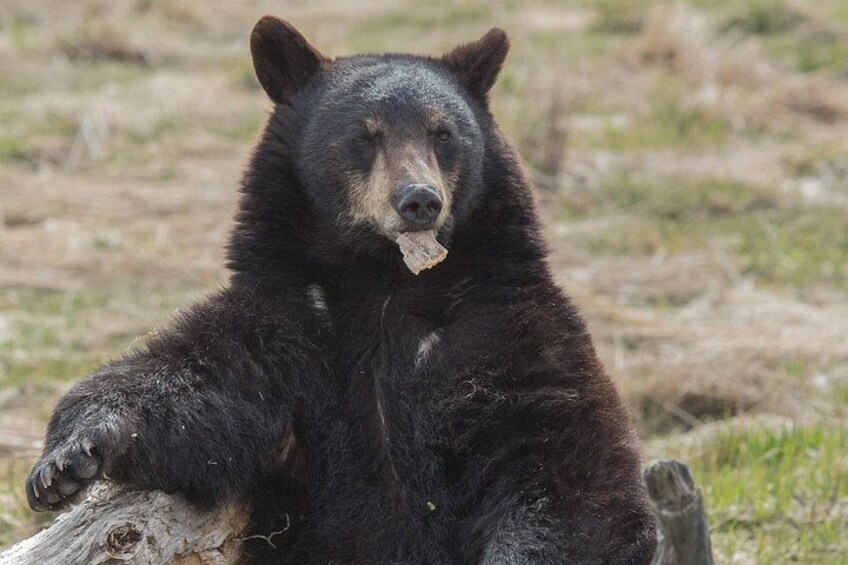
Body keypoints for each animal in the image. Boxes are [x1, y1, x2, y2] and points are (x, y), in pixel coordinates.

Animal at [26, 16, 657, 564]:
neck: (384, 283)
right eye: (364, 136)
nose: (420, 200)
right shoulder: (291, 325)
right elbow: (199, 383)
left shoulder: (503, 329)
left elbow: (568, 468)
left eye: (443, 133)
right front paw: (67, 463)